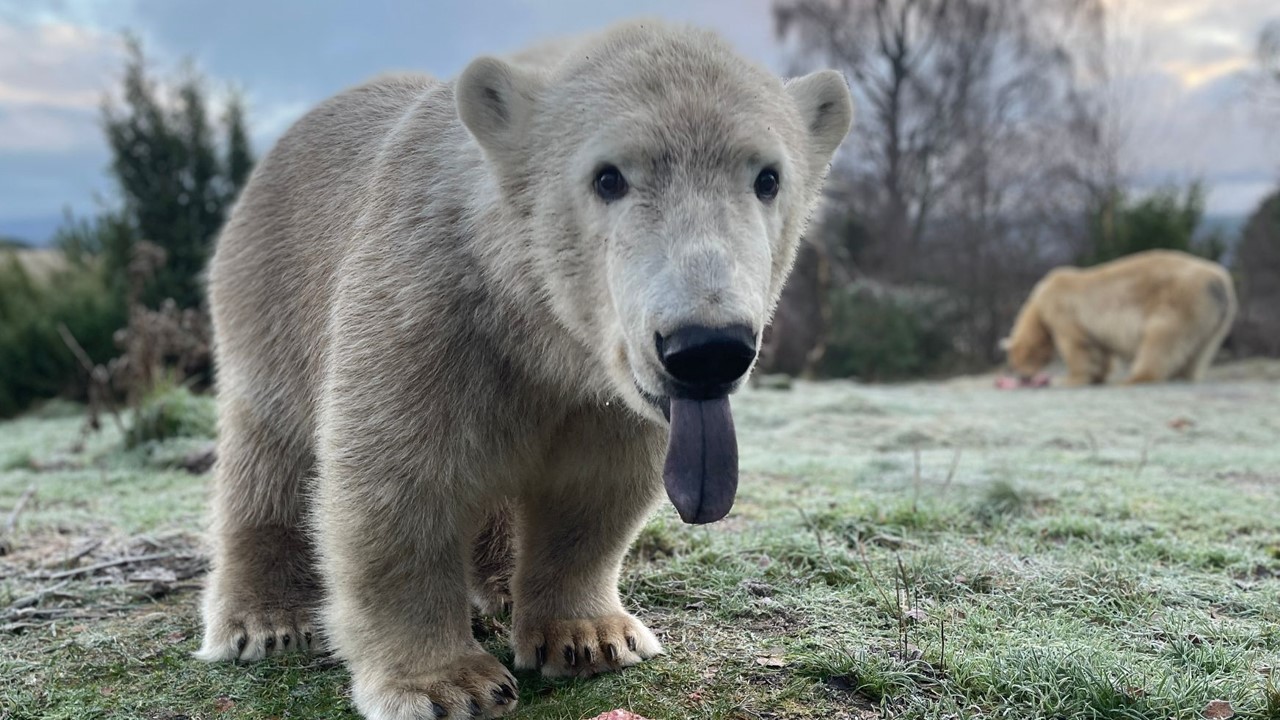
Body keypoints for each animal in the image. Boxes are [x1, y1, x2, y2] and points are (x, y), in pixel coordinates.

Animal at [196, 20, 853, 719]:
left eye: (768, 178)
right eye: (607, 177)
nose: (706, 348)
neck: (538, 328)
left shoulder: (602, 394)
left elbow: (596, 490)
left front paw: (589, 638)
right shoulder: (424, 307)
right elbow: (398, 483)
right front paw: (446, 683)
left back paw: (500, 587)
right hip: (268, 300)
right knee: (267, 455)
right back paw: (267, 620)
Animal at [1001, 249, 1236, 386]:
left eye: (1016, 361)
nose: (1022, 377)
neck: (1039, 302)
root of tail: (1218, 282)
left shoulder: (1062, 311)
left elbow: (1076, 345)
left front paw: (1068, 379)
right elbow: (1100, 349)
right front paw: (1098, 376)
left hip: (1178, 300)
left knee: (1161, 337)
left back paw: (1137, 377)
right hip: (1215, 319)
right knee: (1200, 349)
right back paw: (1182, 374)